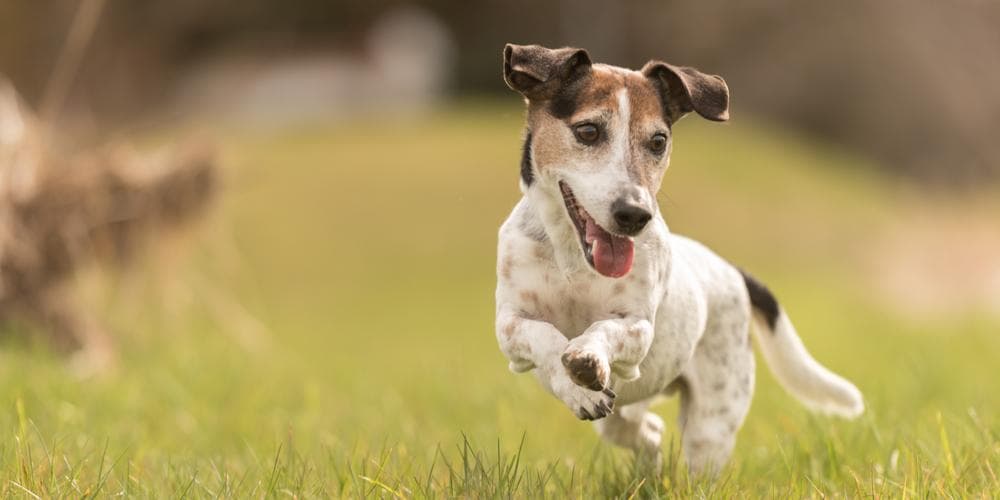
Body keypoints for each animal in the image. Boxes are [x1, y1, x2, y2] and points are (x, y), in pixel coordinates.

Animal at [492, 44, 860, 476]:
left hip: (711, 422)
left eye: (658, 141)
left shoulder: (636, 330)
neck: (574, 261)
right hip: (629, 410)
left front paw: (587, 356)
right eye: (588, 131)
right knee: (640, 429)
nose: (635, 214)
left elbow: (603, 329)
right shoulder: (510, 325)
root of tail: (734, 272)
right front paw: (577, 388)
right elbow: (544, 337)